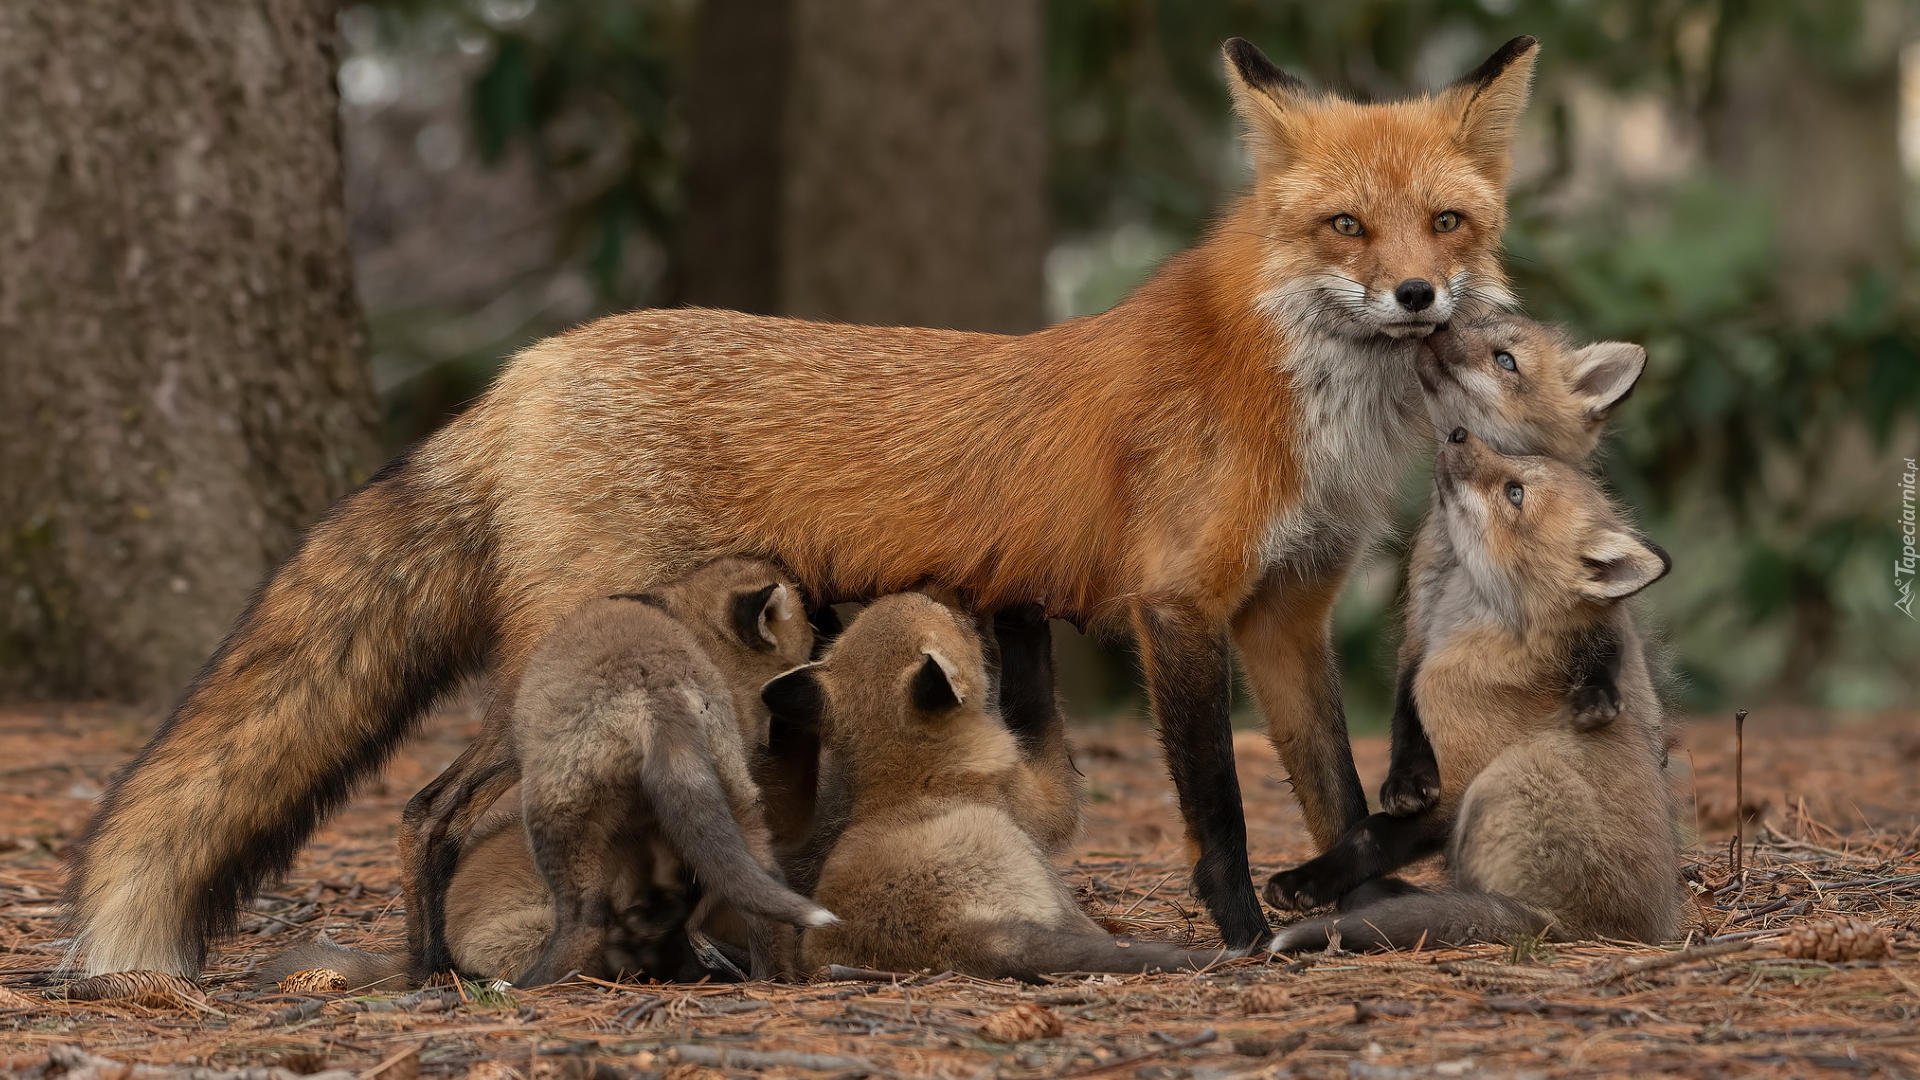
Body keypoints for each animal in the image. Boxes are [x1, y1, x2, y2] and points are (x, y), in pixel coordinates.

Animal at [74, 35, 1536, 976]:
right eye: (1345, 228)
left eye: (1446, 224)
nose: (1418, 297)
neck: (1300, 398)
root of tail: (529, 366)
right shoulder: (1175, 606)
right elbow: (1219, 816)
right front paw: (1244, 936)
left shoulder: (1288, 611)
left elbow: (1337, 796)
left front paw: (1351, 901)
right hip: (568, 656)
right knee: (426, 806)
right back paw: (442, 973)